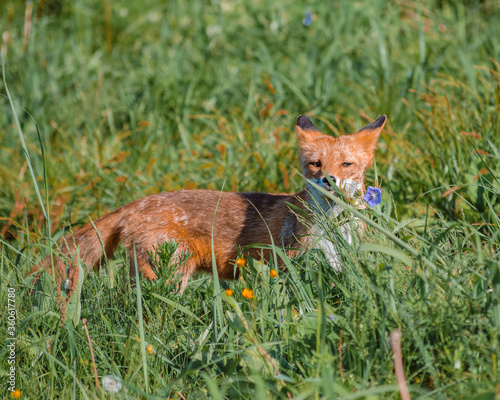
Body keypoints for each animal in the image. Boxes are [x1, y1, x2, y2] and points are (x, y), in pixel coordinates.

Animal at [31, 114, 386, 292]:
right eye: (316, 164)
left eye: (346, 165)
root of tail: (139, 202)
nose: (329, 181)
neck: (334, 230)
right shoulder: (293, 266)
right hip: (167, 275)